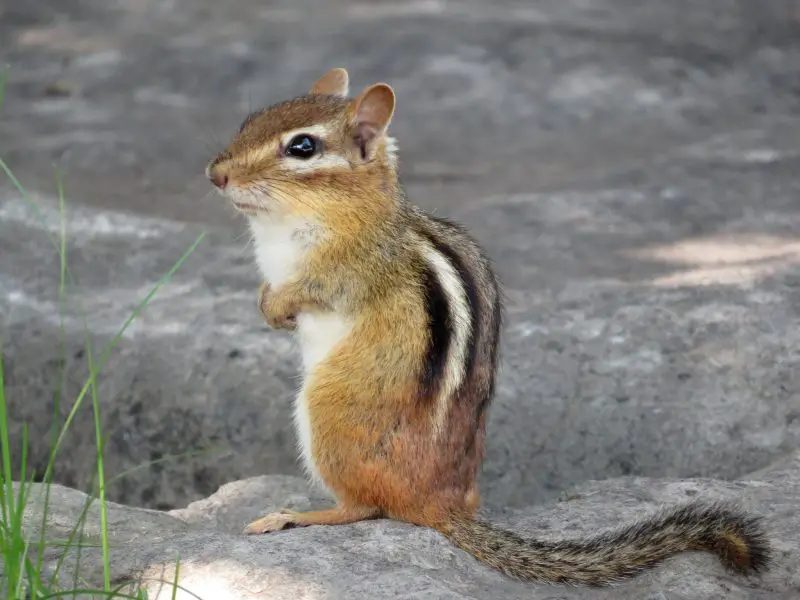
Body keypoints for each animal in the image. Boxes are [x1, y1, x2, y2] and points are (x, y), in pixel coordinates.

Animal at [205, 68, 771, 586]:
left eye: (302, 147)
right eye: (248, 122)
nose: (216, 174)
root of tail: (440, 506)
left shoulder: (347, 271)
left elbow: (311, 290)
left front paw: (275, 307)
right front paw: (264, 302)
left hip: (326, 409)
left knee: (364, 509)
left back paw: (295, 515)